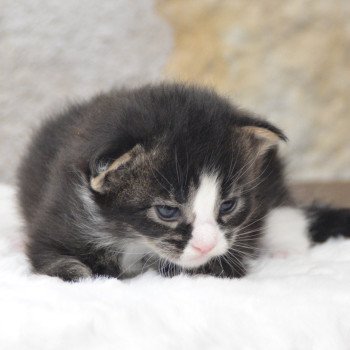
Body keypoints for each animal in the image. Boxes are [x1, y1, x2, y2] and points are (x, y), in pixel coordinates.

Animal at [17, 82, 350, 282]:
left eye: (228, 205)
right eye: (167, 211)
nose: (207, 245)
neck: (133, 239)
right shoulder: (60, 211)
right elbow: (51, 258)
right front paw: (79, 274)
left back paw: (285, 247)